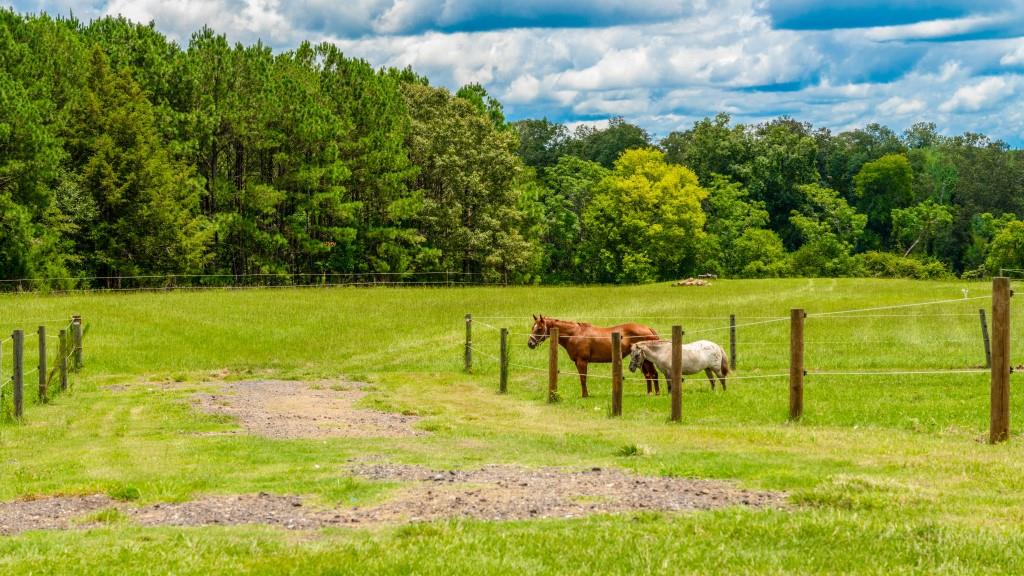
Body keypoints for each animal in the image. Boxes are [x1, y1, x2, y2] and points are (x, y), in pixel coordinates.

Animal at [528, 313, 663, 393]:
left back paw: (656, 393)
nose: (530, 343)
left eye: (539, 328)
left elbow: (583, 378)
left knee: (653, 374)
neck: (574, 334)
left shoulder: (582, 361)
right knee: (648, 375)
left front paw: (585, 395)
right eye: (532, 327)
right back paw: (649, 393)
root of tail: (648, 328)